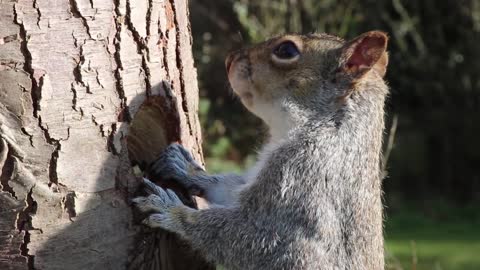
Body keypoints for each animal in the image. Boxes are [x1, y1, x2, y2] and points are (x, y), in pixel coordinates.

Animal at [133, 30, 388, 270]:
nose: (229, 59)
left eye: (286, 50)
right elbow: (228, 189)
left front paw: (171, 209)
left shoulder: (302, 178)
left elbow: (250, 239)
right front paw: (186, 168)